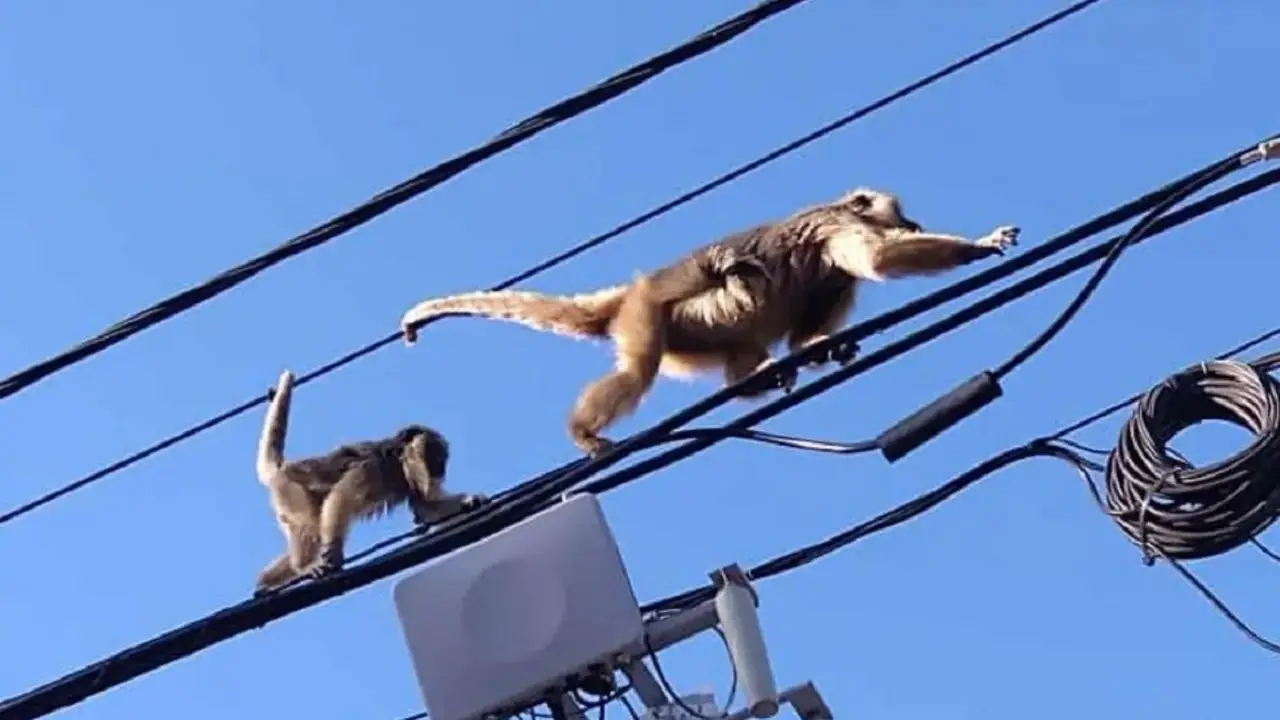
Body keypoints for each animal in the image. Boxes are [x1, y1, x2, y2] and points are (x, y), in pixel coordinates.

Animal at [252, 369, 487, 596]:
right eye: (436, 458)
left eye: (442, 461)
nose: (441, 472)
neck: (396, 463)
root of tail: (283, 469)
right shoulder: (372, 469)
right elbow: (341, 498)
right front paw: (334, 552)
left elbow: (425, 509)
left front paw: (472, 500)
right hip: (290, 491)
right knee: (308, 524)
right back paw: (304, 566)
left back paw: (265, 583)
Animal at [400, 188, 1020, 457]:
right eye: (901, 213)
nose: (912, 220)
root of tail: (633, 290)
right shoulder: (833, 226)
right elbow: (878, 261)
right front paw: (978, 245)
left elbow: (806, 328)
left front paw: (824, 347)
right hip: (646, 314)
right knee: (639, 370)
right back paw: (584, 430)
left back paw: (757, 377)